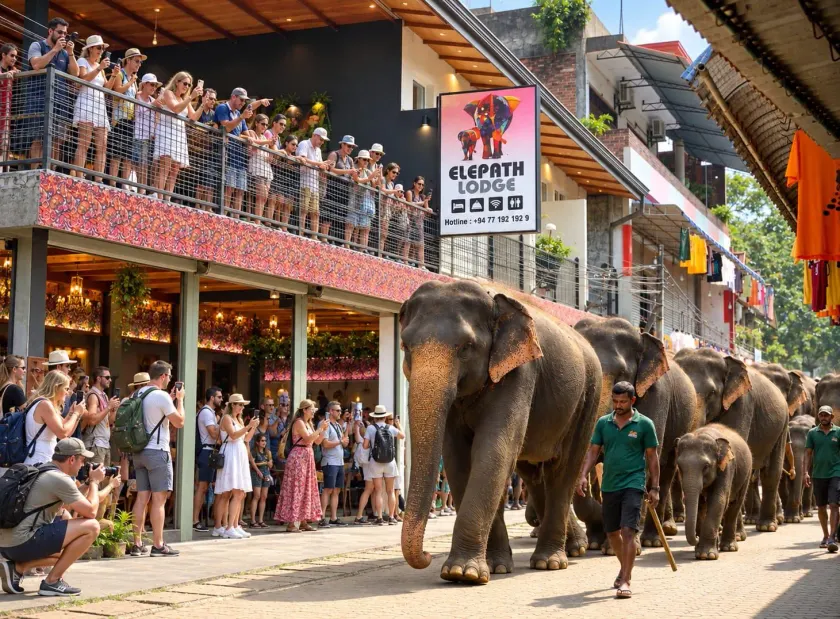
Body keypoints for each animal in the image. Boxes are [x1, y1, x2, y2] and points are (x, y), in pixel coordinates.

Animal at [399, 280, 602, 584]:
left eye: (467, 347)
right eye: (405, 345)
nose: (425, 556)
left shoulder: (521, 369)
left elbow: (494, 449)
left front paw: (462, 573)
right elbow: (458, 458)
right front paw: (491, 568)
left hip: (588, 398)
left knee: (563, 471)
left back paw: (550, 562)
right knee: (533, 474)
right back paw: (574, 548)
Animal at [573, 317, 697, 550]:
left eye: (621, 372)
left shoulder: (657, 394)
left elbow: (647, 459)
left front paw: (618, 547)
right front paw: (600, 541)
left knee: (665, 469)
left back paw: (652, 539)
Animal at [676, 423, 753, 559]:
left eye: (706, 466)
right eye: (679, 466)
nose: (696, 538)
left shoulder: (727, 466)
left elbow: (718, 500)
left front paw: (707, 555)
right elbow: (701, 504)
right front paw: (700, 552)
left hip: (746, 474)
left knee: (735, 504)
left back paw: (729, 548)